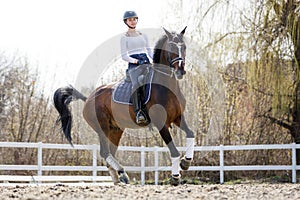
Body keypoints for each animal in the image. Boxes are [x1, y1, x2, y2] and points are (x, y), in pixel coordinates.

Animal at [53, 27, 195, 186]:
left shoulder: (178, 117)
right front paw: (175, 177)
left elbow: (191, 134)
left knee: (110, 153)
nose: (180, 71)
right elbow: (174, 151)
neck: (166, 86)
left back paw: (118, 178)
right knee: (105, 152)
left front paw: (186, 162)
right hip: (102, 128)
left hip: (116, 130)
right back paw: (122, 173)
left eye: (184, 47)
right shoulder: (161, 124)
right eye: (171, 48)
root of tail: (88, 98)